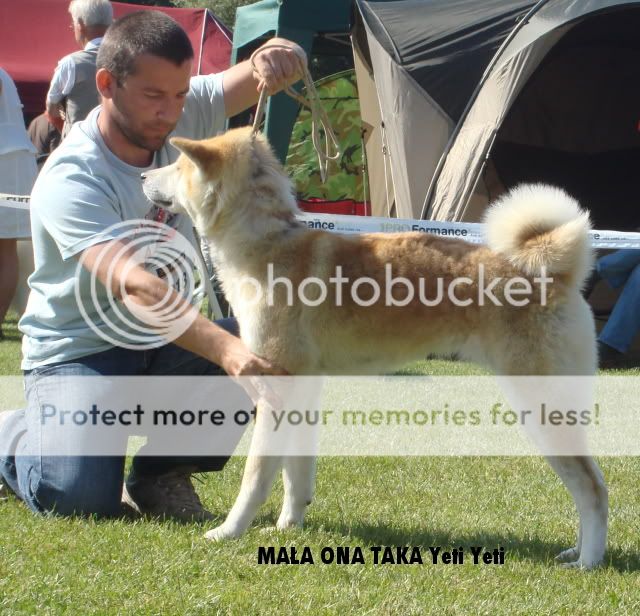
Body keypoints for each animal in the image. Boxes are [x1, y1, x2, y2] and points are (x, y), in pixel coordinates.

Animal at [142, 126, 608, 569]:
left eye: (178, 165)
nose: (144, 175)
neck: (267, 242)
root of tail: (556, 275)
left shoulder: (274, 390)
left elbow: (255, 478)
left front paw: (228, 531)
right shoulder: (303, 390)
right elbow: (296, 475)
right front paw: (288, 527)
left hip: (539, 406)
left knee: (592, 489)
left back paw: (588, 561)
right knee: (587, 484)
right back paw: (575, 551)